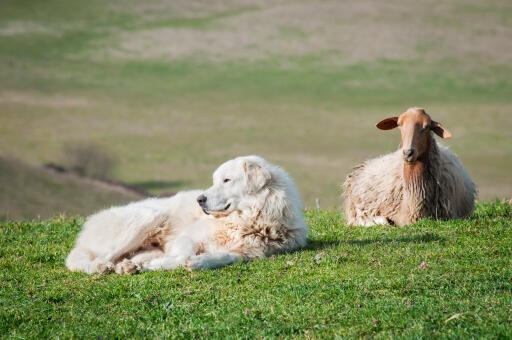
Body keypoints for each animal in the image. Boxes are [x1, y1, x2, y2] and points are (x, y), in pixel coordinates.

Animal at [66, 156, 310, 274]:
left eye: (227, 180)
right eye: (215, 180)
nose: (199, 199)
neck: (247, 219)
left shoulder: (248, 253)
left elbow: (223, 257)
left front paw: (199, 262)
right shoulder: (187, 237)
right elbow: (183, 254)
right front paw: (180, 262)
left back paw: (129, 266)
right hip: (147, 219)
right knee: (83, 260)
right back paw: (101, 268)